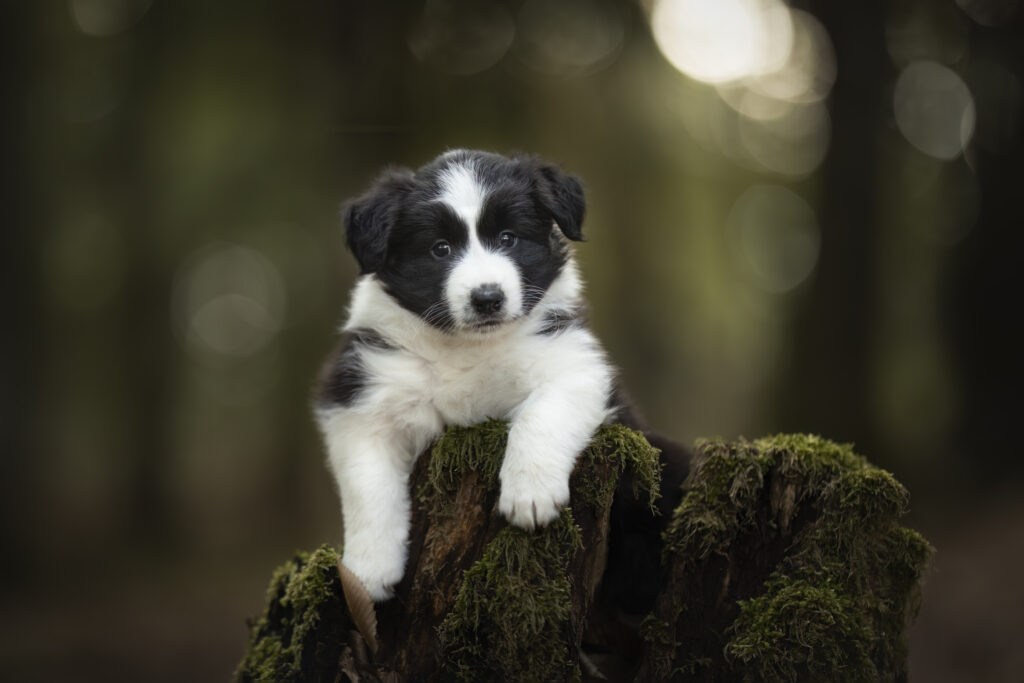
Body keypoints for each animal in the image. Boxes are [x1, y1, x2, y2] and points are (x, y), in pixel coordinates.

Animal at [311, 150, 679, 602]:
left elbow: (542, 415)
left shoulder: (574, 364)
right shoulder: (360, 399)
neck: (466, 346)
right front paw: (366, 572)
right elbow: (368, 485)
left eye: (508, 238)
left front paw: (530, 495)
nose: (487, 298)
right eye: (440, 249)